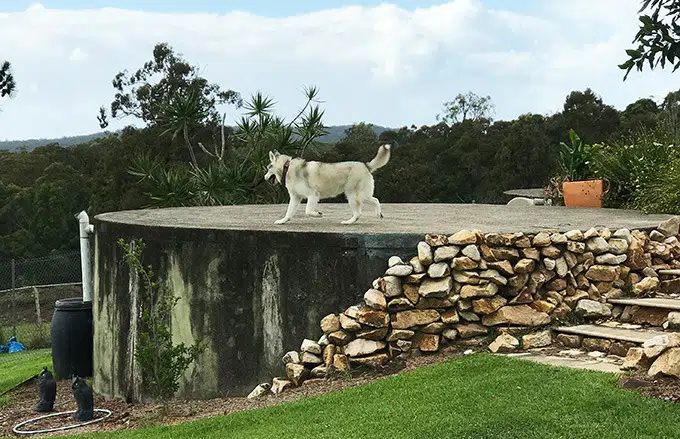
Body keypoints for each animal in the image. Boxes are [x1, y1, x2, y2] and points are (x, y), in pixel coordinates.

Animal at [266, 145, 394, 225]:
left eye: (267, 168)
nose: (264, 177)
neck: (287, 168)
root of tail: (366, 165)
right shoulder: (295, 198)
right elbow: (289, 212)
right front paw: (282, 221)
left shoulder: (313, 195)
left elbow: (308, 211)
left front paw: (318, 214)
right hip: (361, 195)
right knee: (375, 200)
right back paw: (378, 214)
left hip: (353, 196)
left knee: (359, 213)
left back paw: (348, 222)